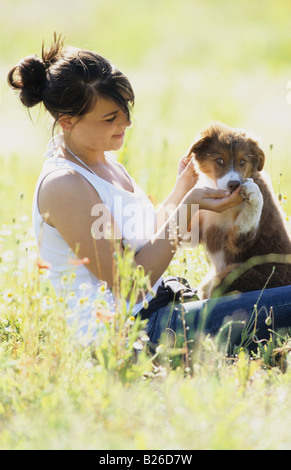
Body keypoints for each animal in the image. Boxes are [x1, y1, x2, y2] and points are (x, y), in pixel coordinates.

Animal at [187, 121, 291, 298]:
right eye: (219, 160)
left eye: (242, 161)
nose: (234, 184)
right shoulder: (196, 227)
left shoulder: (238, 242)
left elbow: (249, 219)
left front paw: (253, 191)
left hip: (242, 273)